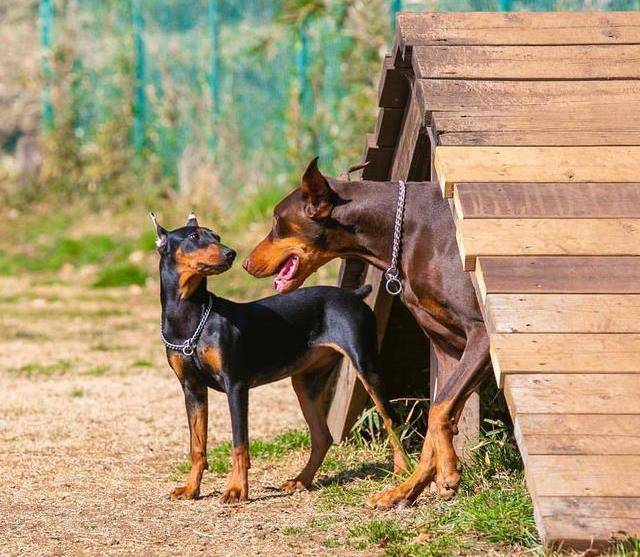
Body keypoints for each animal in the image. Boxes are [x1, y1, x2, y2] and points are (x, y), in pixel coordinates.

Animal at [152, 212, 408, 500]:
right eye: (194, 236)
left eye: (216, 237)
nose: (231, 253)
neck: (191, 317)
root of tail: (354, 295)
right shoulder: (192, 389)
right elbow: (197, 446)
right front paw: (191, 489)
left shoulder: (236, 385)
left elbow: (239, 443)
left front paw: (236, 489)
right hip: (306, 384)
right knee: (322, 436)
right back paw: (301, 480)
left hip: (365, 366)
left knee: (390, 420)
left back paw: (401, 470)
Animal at [242, 157, 492, 508]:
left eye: (277, 221)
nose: (245, 263)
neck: (404, 228)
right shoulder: (448, 349)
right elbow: (437, 416)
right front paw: (411, 489)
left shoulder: (482, 335)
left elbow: (439, 409)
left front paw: (448, 474)